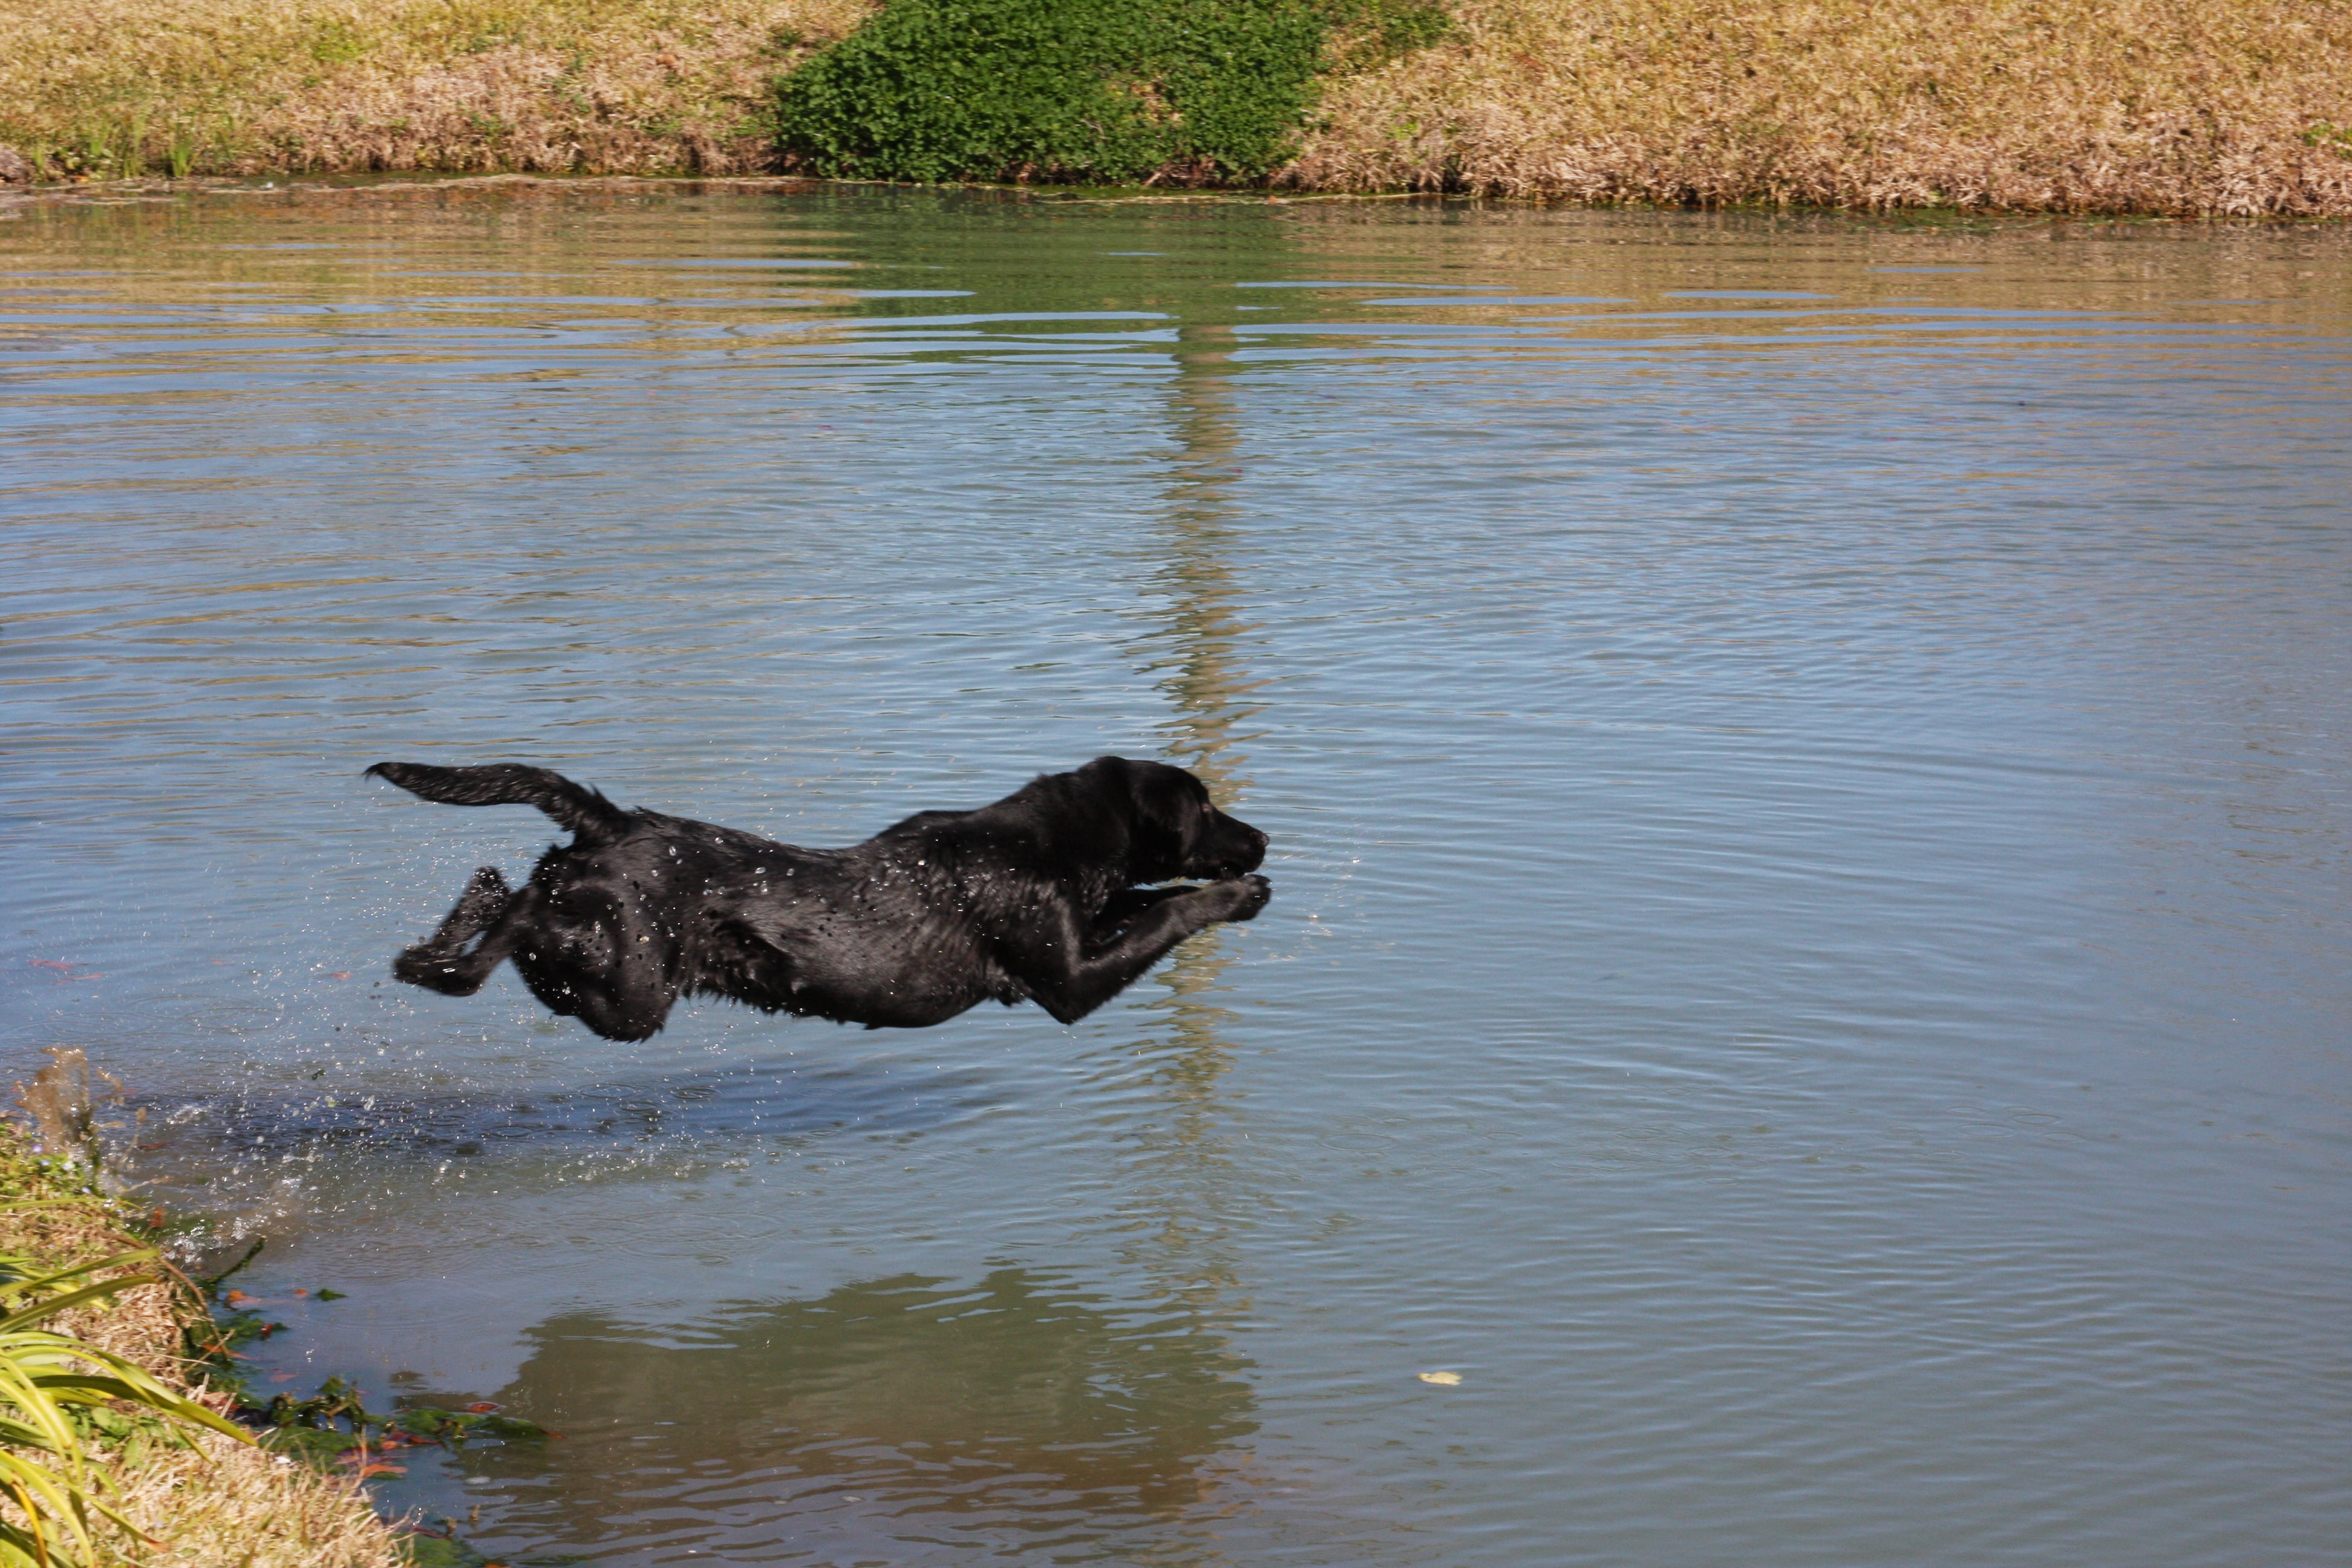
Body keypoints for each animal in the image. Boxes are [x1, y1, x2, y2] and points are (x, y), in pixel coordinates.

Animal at [364, 762, 1270, 1044]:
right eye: (1205, 805)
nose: (1260, 838)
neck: (1053, 842)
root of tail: (615, 821)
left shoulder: (1085, 927)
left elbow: (1145, 895)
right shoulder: (1069, 983)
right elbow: (1164, 908)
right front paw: (1234, 893)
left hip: (591, 972)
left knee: (504, 891)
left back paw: (430, 949)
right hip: (628, 989)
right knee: (511, 914)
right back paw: (442, 962)